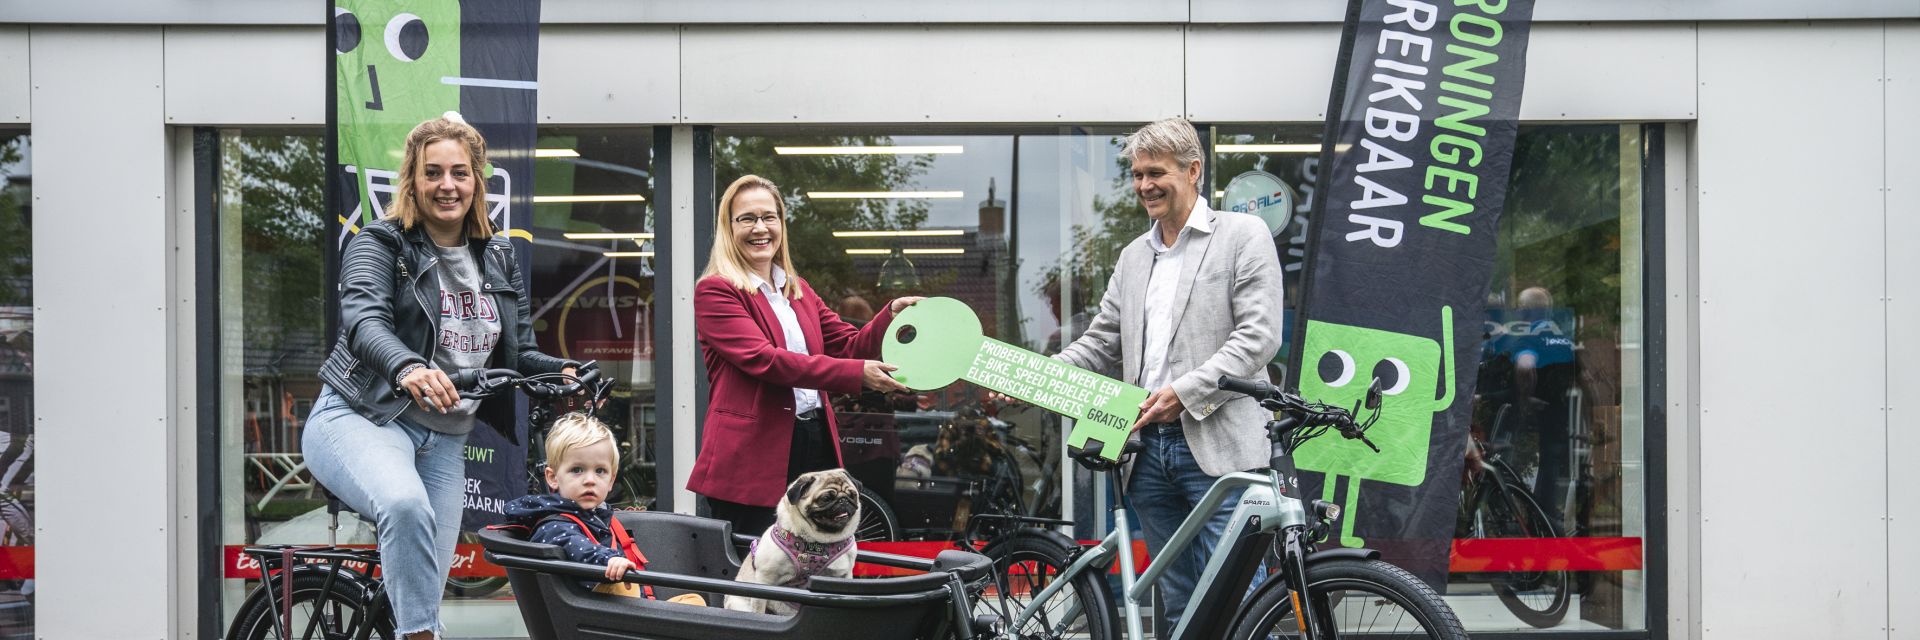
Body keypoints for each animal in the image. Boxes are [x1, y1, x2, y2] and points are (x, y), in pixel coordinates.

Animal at [721, 468, 867, 615]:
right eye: (825, 499)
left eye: (853, 495)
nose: (843, 500)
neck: (820, 541)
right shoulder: (764, 578)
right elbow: (759, 607)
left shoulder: (843, 576)